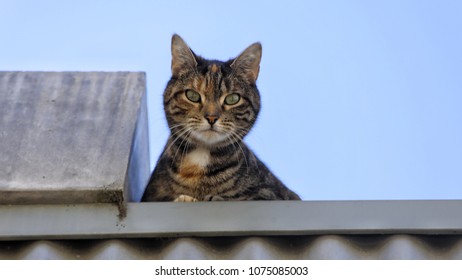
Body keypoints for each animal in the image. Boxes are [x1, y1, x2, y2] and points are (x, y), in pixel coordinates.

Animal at [142, 34, 300, 201]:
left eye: (233, 98)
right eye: (192, 95)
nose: (211, 117)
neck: (200, 158)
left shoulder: (272, 193)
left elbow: (240, 198)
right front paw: (185, 198)